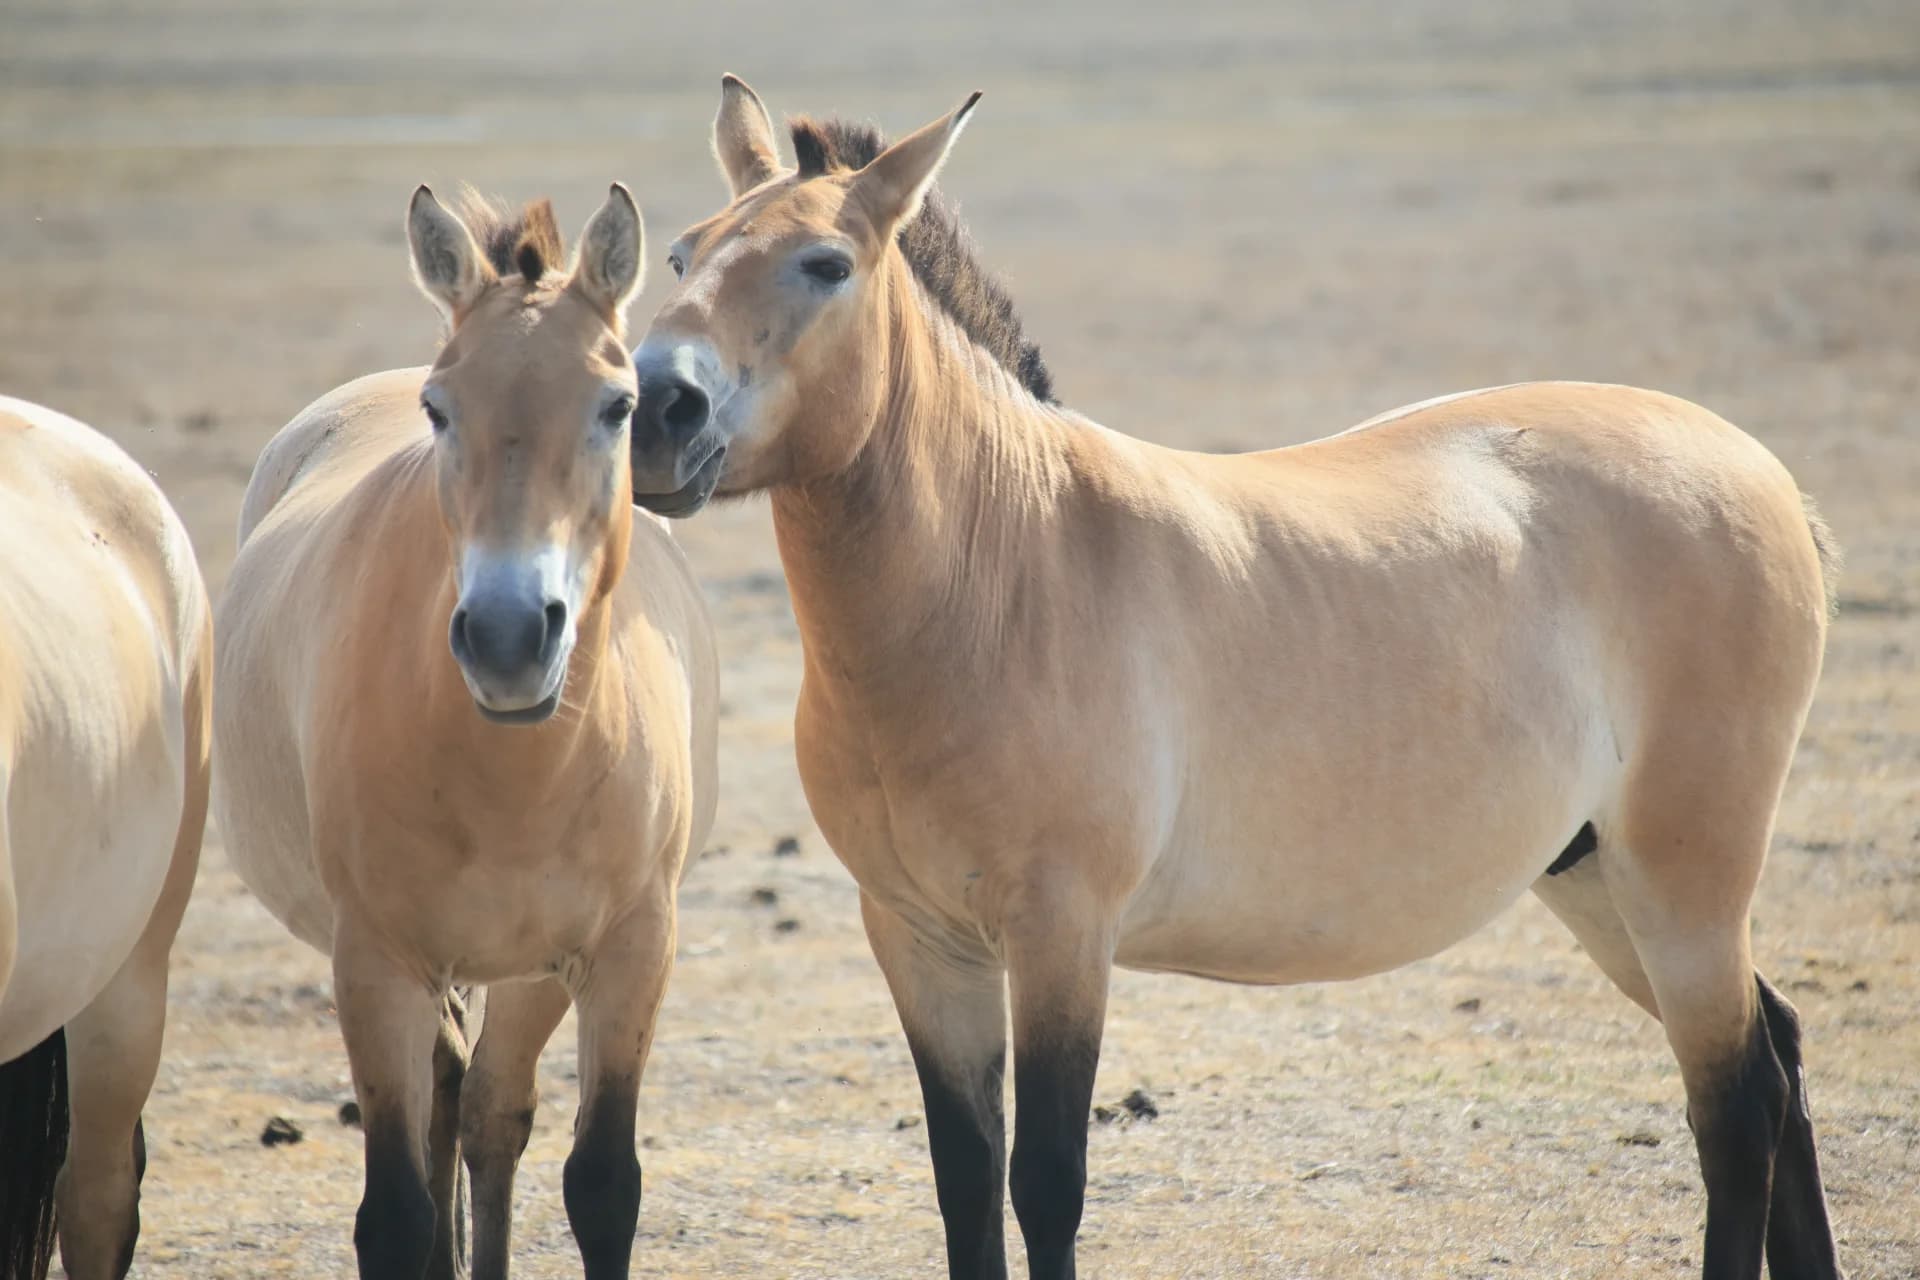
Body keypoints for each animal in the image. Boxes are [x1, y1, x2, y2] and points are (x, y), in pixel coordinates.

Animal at [211, 184, 718, 1280]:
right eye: (441, 411)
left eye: (618, 406)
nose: (508, 635)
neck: (512, 779)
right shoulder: (376, 965)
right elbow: (396, 1212)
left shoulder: (625, 953)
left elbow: (600, 1183)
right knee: (452, 1098)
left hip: (528, 973)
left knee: (487, 1110)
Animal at [626, 77, 1845, 1280]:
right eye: (681, 256)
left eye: (825, 263)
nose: (656, 408)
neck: (1001, 575)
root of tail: (1758, 469)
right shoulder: (922, 942)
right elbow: (965, 1186)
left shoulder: (1062, 939)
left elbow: (1046, 1184)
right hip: (1595, 876)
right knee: (1776, 1055)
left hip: (1681, 883)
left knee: (1736, 1105)